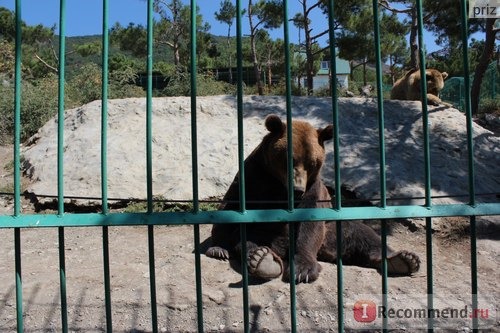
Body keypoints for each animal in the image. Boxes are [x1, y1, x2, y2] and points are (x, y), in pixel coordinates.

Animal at [205, 115, 420, 282]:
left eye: (311, 162)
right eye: (289, 160)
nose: (297, 188)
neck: (280, 185)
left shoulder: (313, 189)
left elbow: (309, 225)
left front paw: (303, 270)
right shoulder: (254, 176)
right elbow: (231, 208)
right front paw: (218, 247)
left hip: (332, 233)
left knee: (362, 234)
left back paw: (404, 260)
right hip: (268, 232)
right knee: (246, 237)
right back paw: (260, 258)